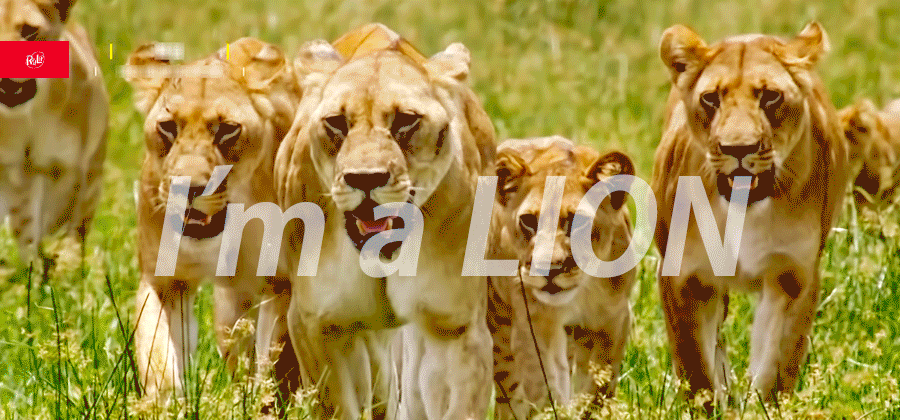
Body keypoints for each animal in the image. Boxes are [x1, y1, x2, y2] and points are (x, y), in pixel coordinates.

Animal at [0, 0, 107, 263]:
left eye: (29, 31)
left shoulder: (69, 168)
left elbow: (62, 226)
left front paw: (64, 263)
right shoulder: (11, 172)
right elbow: (25, 226)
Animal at [125, 37, 302, 401]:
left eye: (227, 130)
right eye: (168, 127)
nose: (188, 187)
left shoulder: (282, 284)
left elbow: (275, 366)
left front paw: (262, 404)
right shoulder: (164, 279)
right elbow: (156, 355)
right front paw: (165, 405)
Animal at [275, 23, 496, 419]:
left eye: (406, 120)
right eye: (336, 123)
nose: (365, 178)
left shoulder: (455, 325)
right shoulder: (317, 324)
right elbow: (340, 406)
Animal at [487, 136, 635, 419]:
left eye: (577, 221)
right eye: (528, 221)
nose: (549, 268)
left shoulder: (613, 321)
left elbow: (598, 387)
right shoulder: (532, 323)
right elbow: (543, 387)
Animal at [652, 22, 848, 410]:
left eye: (770, 96)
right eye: (711, 98)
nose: (738, 149)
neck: (744, 211)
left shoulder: (793, 276)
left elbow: (776, 364)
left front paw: (764, 408)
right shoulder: (684, 277)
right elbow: (696, 368)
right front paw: (711, 409)